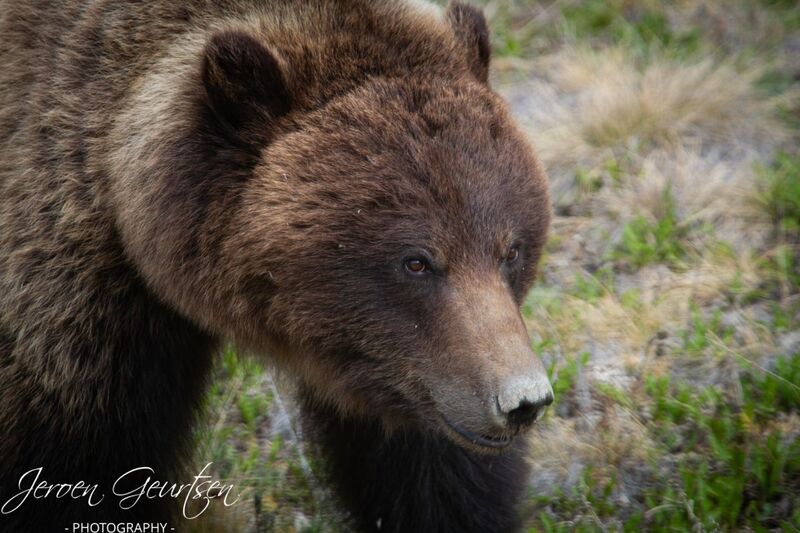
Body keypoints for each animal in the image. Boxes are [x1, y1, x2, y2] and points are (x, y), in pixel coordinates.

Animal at [0, 1, 553, 531]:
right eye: (416, 261)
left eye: (510, 250)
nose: (523, 400)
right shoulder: (77, 294)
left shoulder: (413, 376)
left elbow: (431, 470)